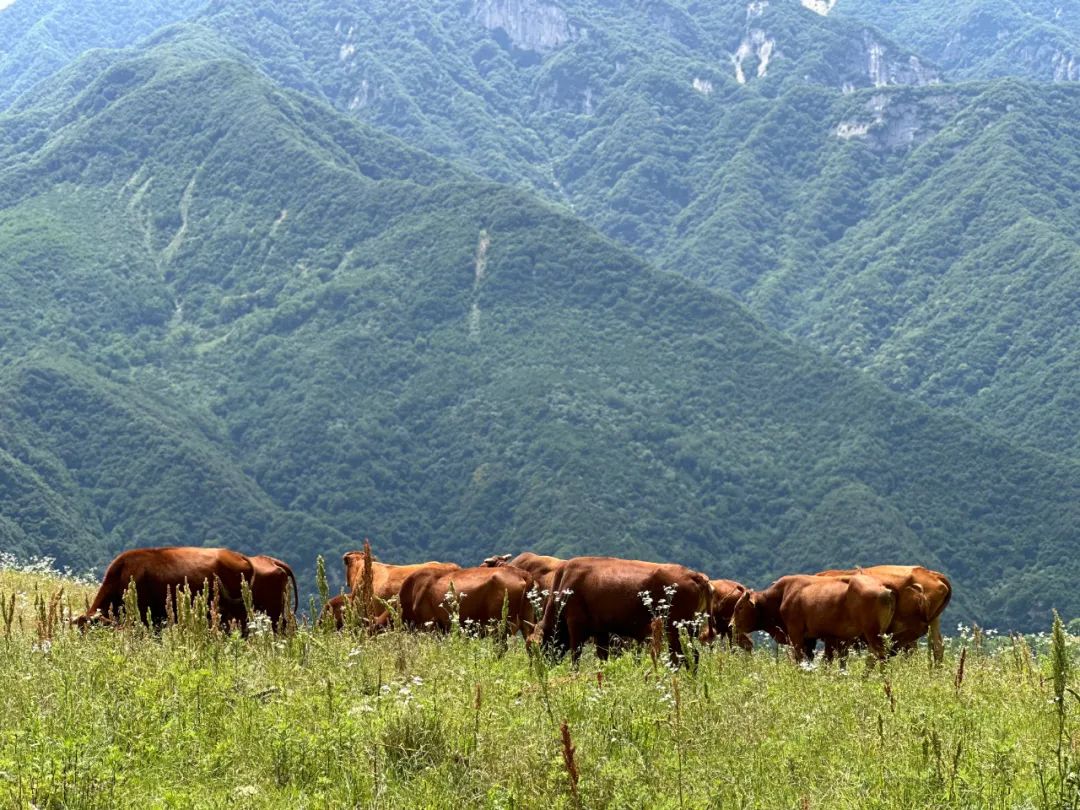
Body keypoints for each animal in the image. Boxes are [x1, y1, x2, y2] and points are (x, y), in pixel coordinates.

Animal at [529, 557, 712, 665]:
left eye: (534, 649)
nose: (541, 668)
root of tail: (695, 576)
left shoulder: (576, 626)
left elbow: (576, 656)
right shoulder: (600, 631)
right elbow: (602, 656)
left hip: (674, 630)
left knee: (682, 656)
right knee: (689, 655)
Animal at [734, 574, 894, 660]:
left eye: (740, 607)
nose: (731, 625)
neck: (782, 594)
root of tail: (884, 589)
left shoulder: (796, 634)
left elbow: (799, 659)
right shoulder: (810, 639)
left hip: (872, 634)